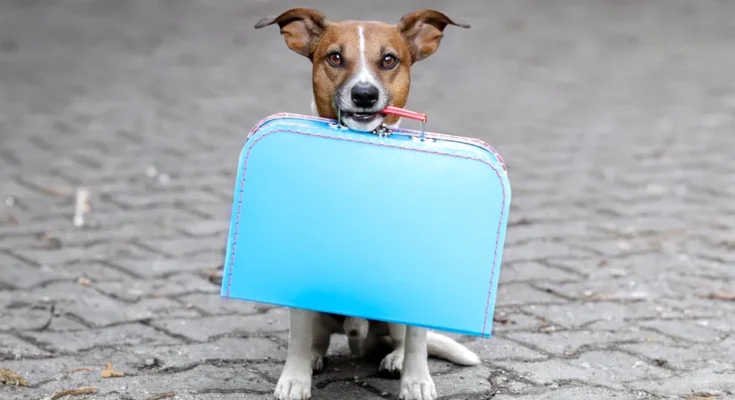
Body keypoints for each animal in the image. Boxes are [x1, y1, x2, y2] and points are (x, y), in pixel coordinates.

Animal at [256, 7, 478, 400]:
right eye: (334, 58)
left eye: (389, 60)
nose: (364, 94)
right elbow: (297, 338)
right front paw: (294, 379)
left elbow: (418, 341)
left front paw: (417, 381)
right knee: (316, 338)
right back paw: (314, 358)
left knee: (401, 339)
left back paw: (396, 360)